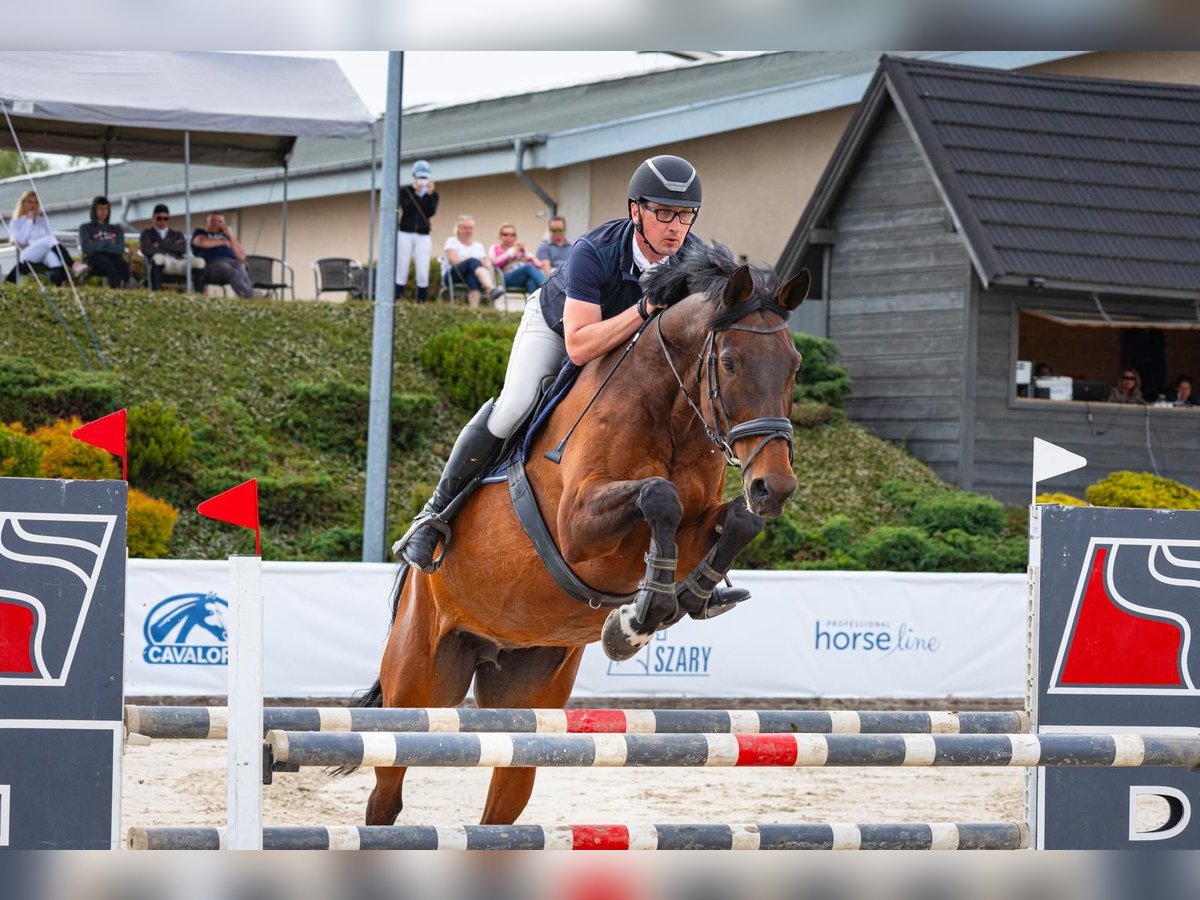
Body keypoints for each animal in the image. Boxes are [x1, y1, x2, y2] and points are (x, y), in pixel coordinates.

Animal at [355, 243, 806, 830]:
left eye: (794, 366)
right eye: (729, 362)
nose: (774, 487)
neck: (673, 414)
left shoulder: (700, 518)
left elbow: (735, 521)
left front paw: (689, 596)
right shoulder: (577, 527)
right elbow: (659, 495)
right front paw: (640, 618)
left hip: (529, 702)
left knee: (504, 798)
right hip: (418, 683)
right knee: (387, 791)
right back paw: (424, 536)